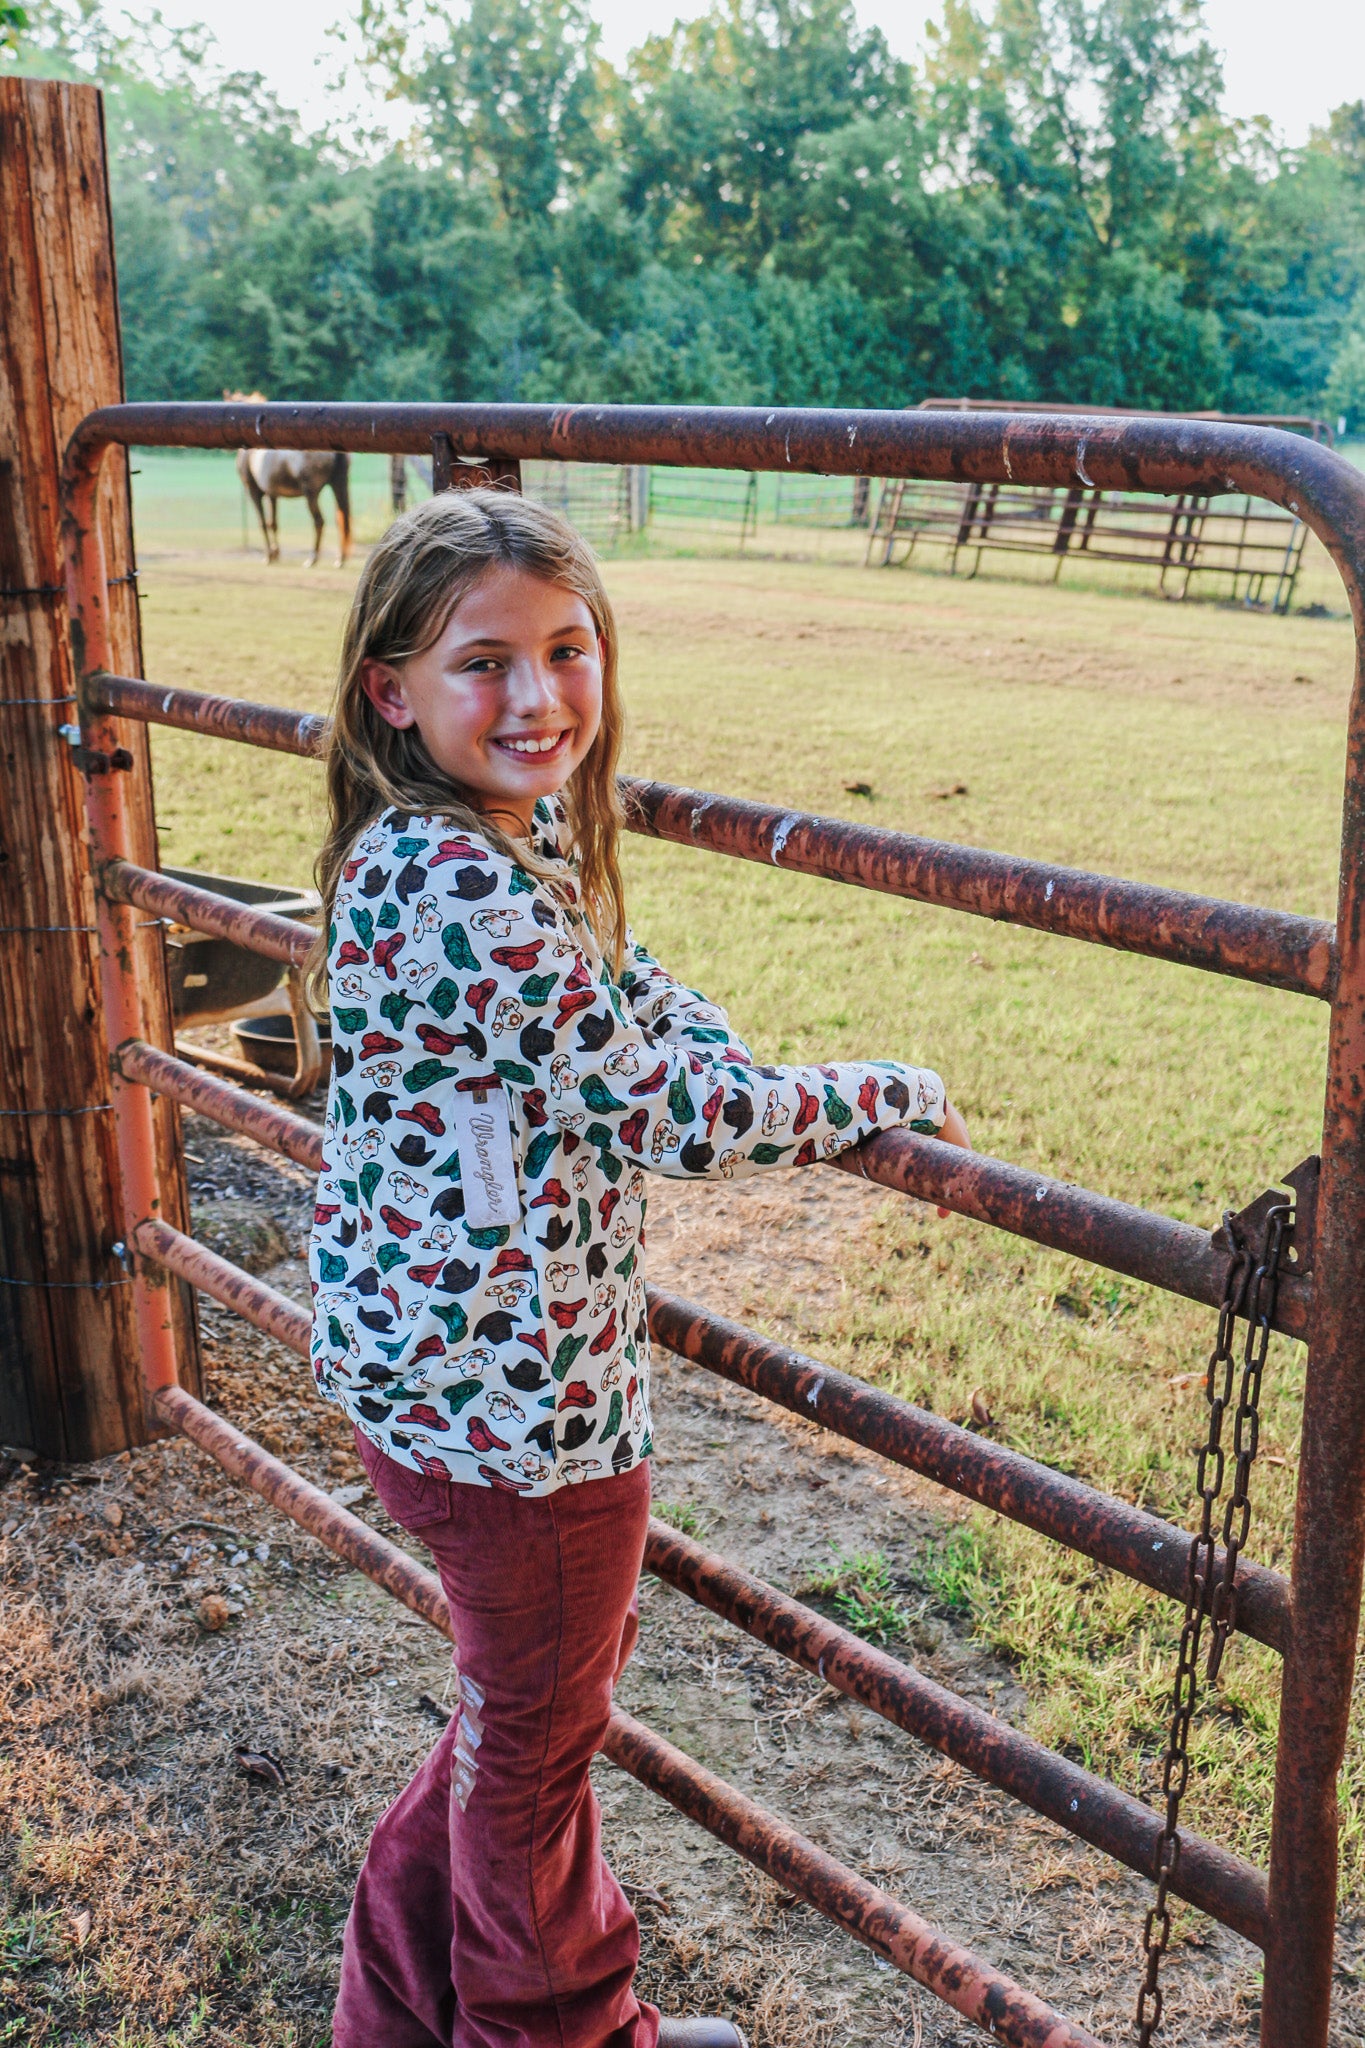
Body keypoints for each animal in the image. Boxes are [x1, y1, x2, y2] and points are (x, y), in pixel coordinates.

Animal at [227, 391, 351, 565]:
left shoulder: (254, 491)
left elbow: (263, 523)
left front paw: (269, 555)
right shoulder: (272, 494)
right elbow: (273, 523)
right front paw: (275, 553)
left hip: (311, 493)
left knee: (319, 521)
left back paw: (313, 558)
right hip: (338, 483)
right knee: (343, 518)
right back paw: (340, 558)